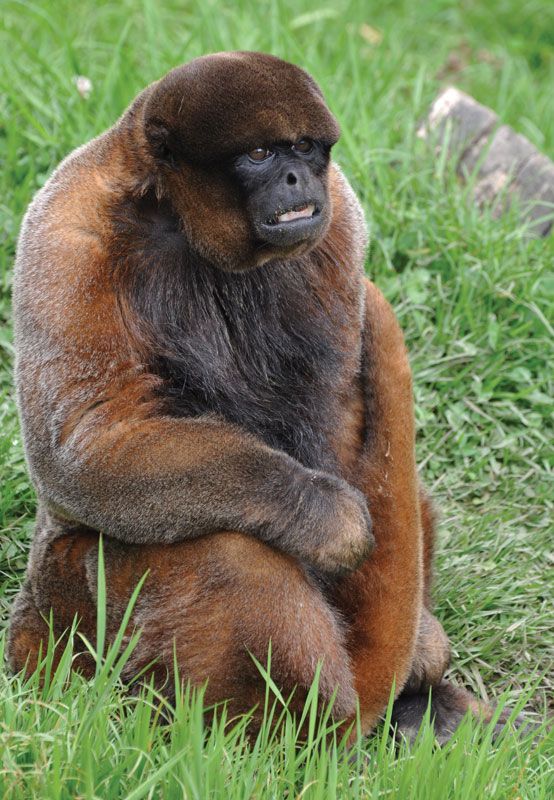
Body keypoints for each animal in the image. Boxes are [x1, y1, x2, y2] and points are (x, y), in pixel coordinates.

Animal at [7, 51, 513, 742]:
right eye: (259, 154)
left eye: (303, 148)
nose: (299, 176)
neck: (175, 215)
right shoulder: (67, 229)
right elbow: (86, 445)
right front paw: (321, 516)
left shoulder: (341, 217)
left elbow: (337, 409)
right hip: (67, 608)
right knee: (225, 554)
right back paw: (296, 736)